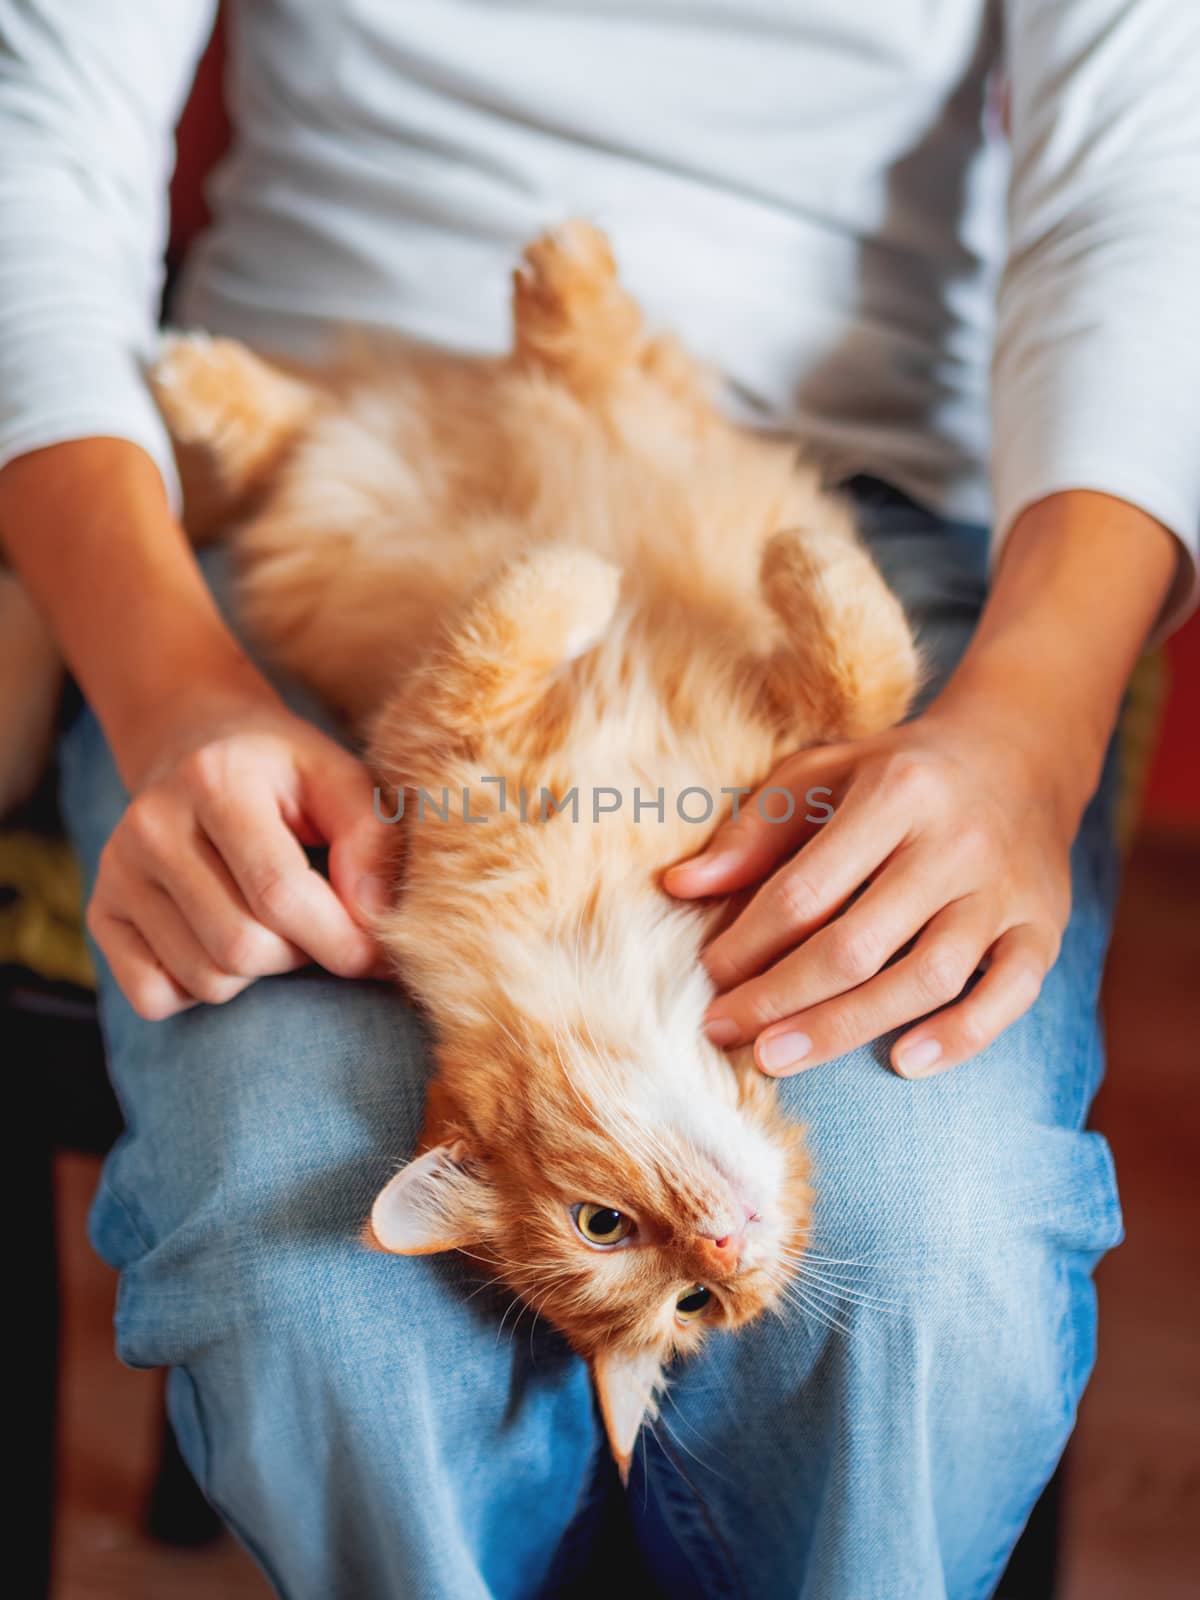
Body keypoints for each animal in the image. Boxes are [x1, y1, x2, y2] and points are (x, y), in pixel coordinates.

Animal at [152, 222, 921, 1472]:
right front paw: (587, 576)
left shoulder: (804, 755)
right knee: (313, 428)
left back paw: (550, 275)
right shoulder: (431, 748)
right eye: (608, 1234)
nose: (722, 1252)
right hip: (345, 493)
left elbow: (872, 666)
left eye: (691, 1296)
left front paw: (788, 560)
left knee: (497, 376)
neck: (631, 940)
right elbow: (512, 619)